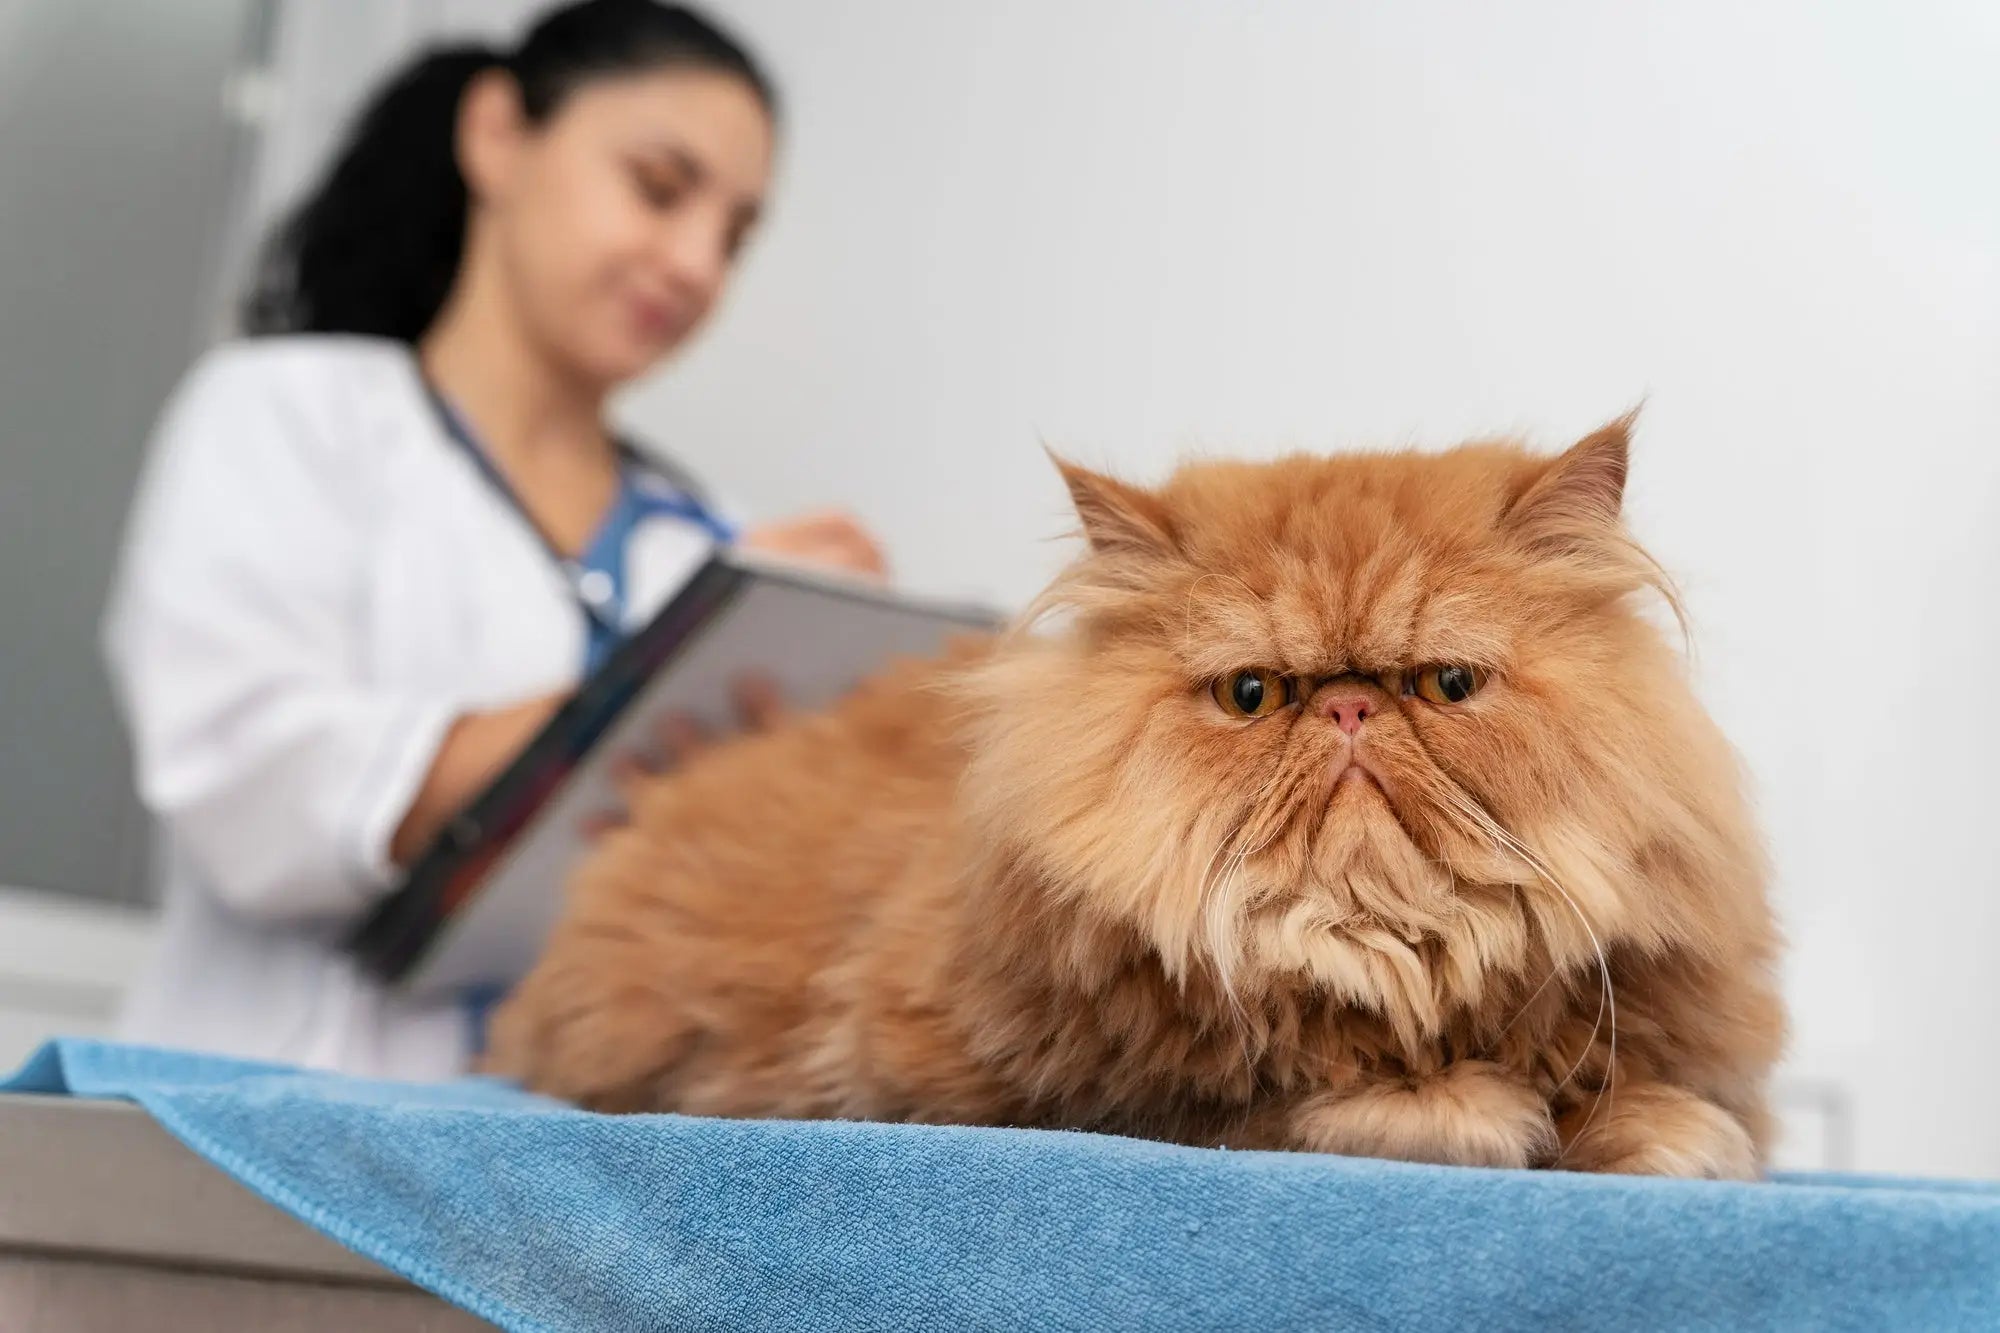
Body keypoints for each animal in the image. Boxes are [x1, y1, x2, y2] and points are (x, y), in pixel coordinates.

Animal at [492, 420, 1792, 1176]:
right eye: (1252, 693)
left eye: (1446, 684)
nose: (1347, 709)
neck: (1385, 952)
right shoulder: (1017, 1093)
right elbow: (1291, 1102)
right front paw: (1469, 1113)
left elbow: (1675, 1118)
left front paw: (1638, 1131)